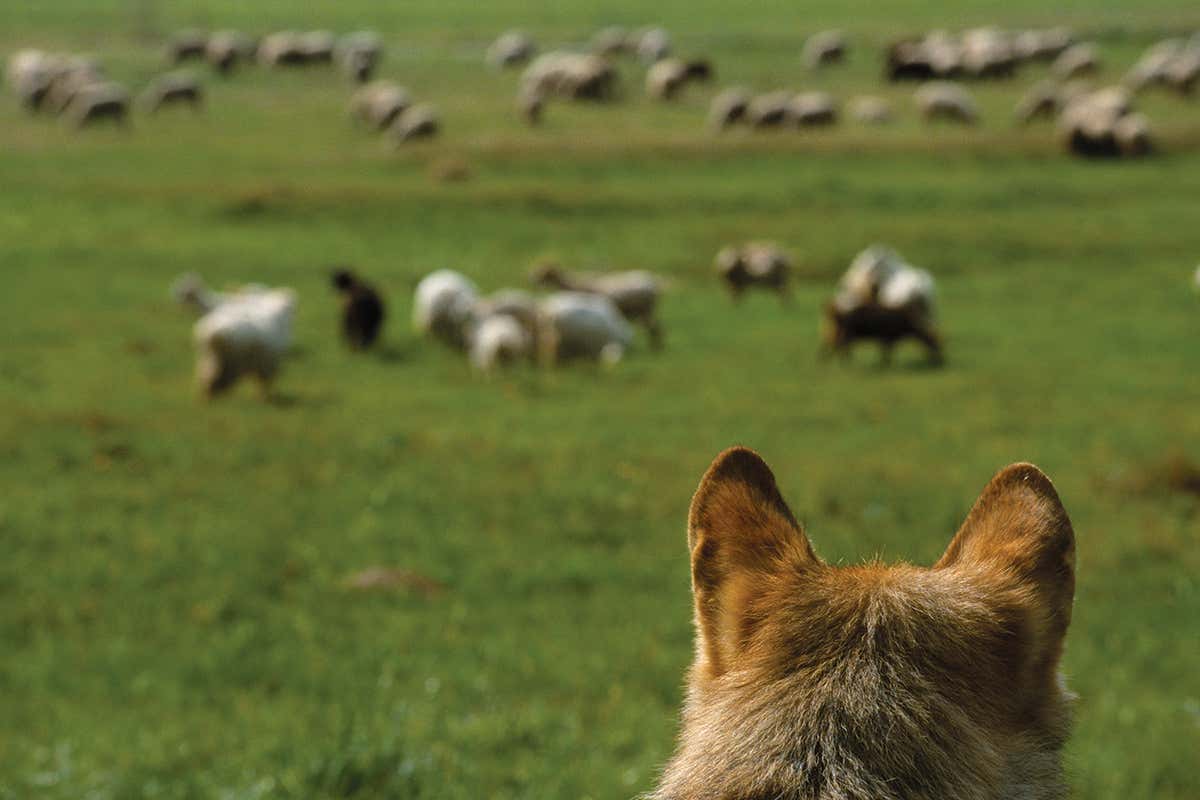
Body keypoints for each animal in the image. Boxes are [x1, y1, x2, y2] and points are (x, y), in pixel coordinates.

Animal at [531, 264, 664, 348]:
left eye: (545, 273)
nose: (532, 278)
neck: (576, 285)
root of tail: (653, 285)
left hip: (646, 310)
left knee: (655, 328)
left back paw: (656, 347)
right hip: (645, 311)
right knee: (655, 328)